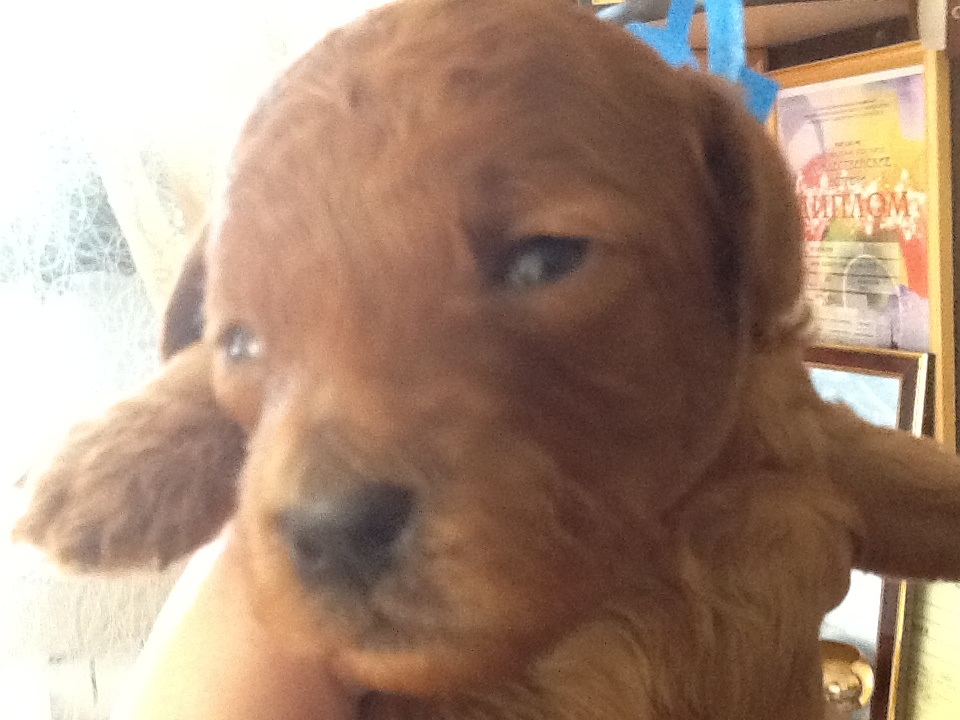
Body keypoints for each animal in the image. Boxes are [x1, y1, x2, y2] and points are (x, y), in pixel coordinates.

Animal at [14, 1, 960, 718]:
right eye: (240, 343)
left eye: (544, 261)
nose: (331, 529)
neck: (645, 552)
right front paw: (111, 463)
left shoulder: (811, 454)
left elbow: (922, 484)